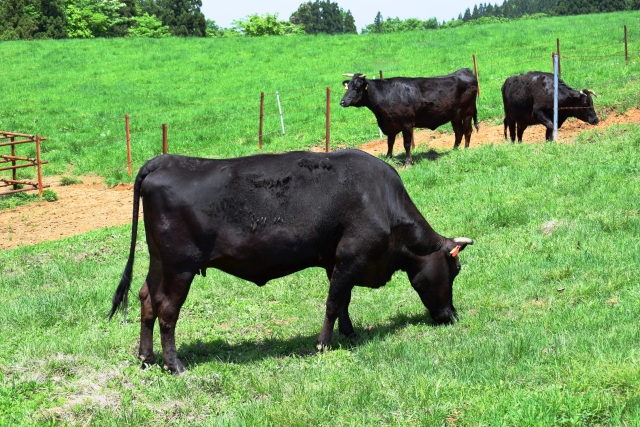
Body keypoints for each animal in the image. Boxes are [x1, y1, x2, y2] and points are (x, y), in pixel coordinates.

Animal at [107, 150, 472, 374]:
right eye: (454, 271)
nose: (452, 315)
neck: (381, 200)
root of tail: (164, 161)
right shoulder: (352, 255)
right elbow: (333, 302)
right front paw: (323, 344)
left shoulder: (337, 261)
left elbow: (343, 300)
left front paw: (349, 334)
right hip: (180, 267)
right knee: (167, 309)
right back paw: (175, 365)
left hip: (159, 262)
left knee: (146, 299)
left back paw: (146, 357)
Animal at [340, 68, 480, 166]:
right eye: (347, 87)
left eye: (357, 87)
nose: (342, 102)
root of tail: (465, 70)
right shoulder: (389, 124)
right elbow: (390, 143)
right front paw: (388, 157)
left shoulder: (406, 124)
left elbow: (406, 144)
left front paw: (408, 162)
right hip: (455, 116)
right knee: (458, 132)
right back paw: (454, 150)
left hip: (467, 113)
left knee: (467, 130)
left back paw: (465, 149)